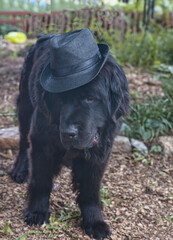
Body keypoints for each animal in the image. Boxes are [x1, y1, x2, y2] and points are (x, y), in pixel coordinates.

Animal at [8, 31, 129, 239]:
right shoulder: (42, 143)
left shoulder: (100, 152)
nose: (68, 133)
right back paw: (20, 170)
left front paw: (94, 222)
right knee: (23, 141)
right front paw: (37, 211)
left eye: (90, 98)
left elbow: (90, 188)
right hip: (25, 105)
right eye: (60, 99)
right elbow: (41, 179)